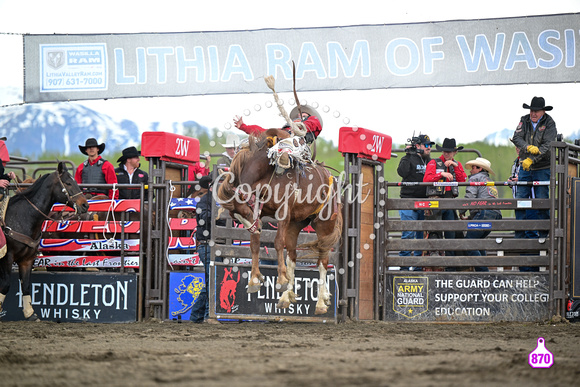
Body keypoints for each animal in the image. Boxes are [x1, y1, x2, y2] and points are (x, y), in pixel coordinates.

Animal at [0, 162, 88, 320]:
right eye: (68, 182)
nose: (85, 205)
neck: (21, 217)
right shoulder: (7, 257)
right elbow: (5, 285)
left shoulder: (27, 259)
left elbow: (26, 285)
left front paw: (30, 313)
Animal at [219, 130, 344, 316]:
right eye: (235, 218)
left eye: (245, 212)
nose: (257, 228)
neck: (265, 172)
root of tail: (331, 179)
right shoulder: (262, 211)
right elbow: (255, 244)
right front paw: (254, 280)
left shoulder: (282, 213)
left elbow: (278, 242)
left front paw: (279, 280)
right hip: (294, 224)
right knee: (292, 257)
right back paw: (286, 297)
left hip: (324, 223)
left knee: (323, 259)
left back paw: (321, 302)